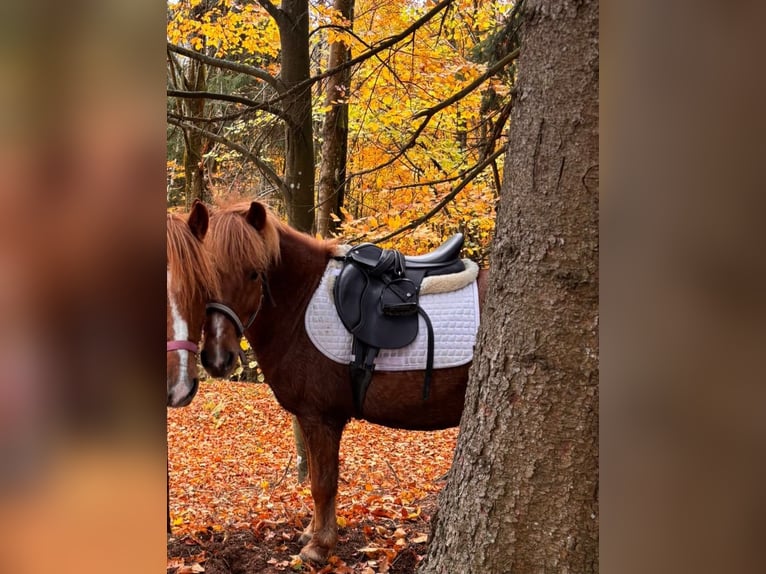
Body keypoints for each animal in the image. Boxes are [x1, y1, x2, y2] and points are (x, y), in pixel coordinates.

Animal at [200, 201, 488, 563]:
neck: (301, 301)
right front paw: (311, 532)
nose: (217, 357)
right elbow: (316, 476)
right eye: (203, 272)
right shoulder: (308, 418)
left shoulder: (320, 417)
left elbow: (323, 484)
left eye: (254, 273)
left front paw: (319, 546)